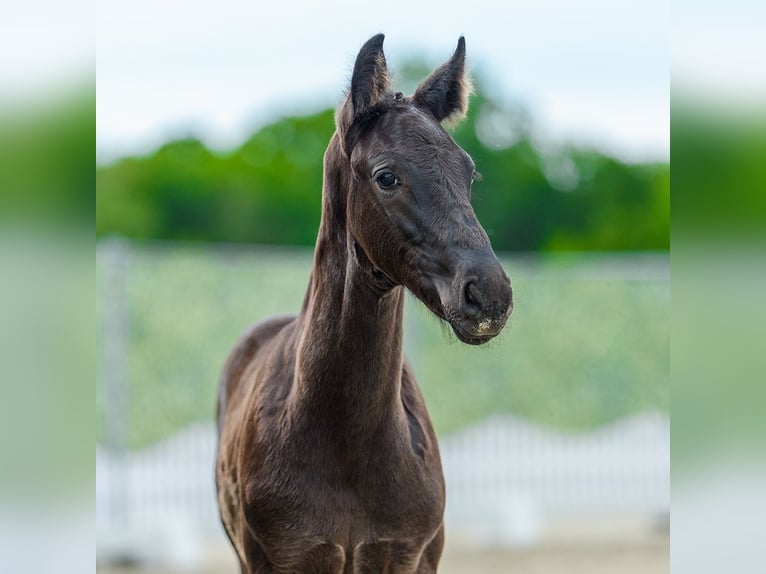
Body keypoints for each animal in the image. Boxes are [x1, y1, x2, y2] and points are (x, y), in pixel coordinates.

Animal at [215, 34, 513, 573]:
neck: (347, 446)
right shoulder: (279, 558)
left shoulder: (408, 555)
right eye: (386, 176)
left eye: (469, 173)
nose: (489, 293)